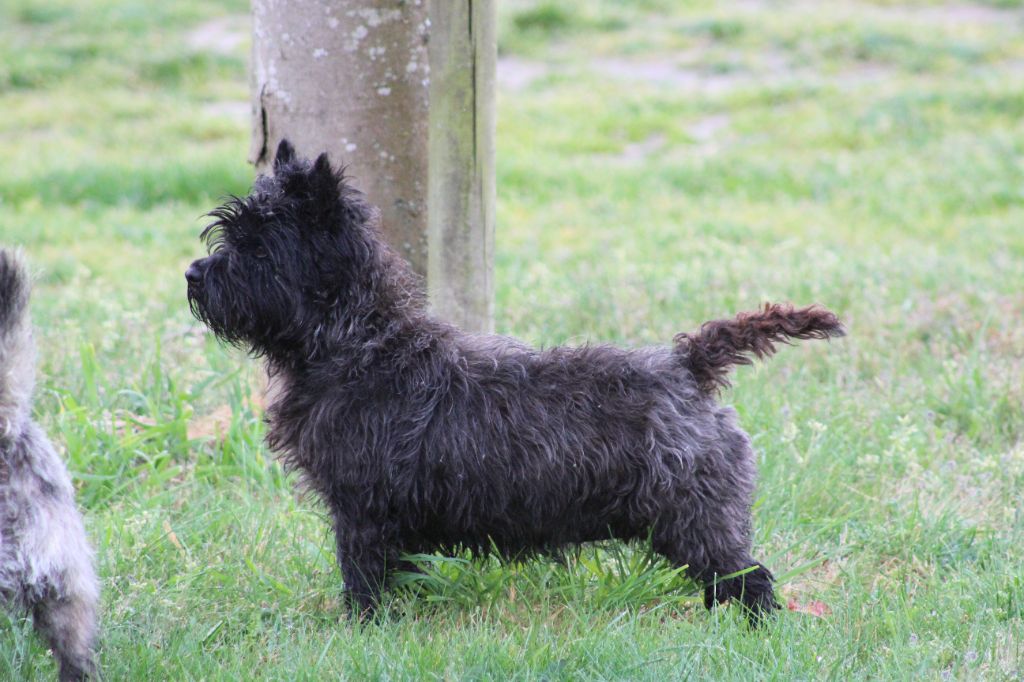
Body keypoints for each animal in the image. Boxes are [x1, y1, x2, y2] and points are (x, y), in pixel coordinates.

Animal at [188, 140, 843, 622]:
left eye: (258, 246)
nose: (194, 272)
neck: (359, 343)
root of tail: (689, 364)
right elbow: (397, 570)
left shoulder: (362, 507)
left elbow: (364, 573)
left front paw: (360, 625)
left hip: (693, 515)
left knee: (748, 579)